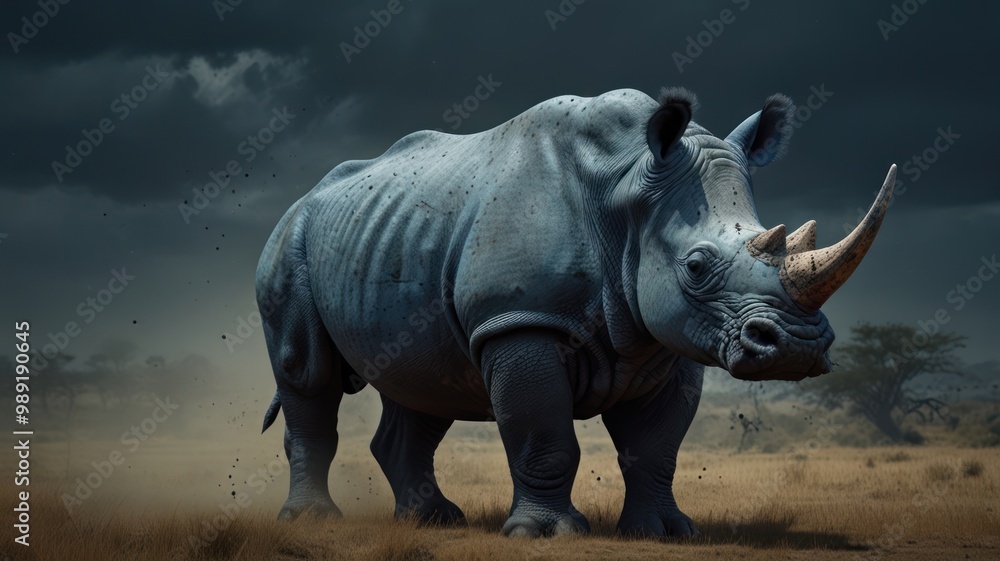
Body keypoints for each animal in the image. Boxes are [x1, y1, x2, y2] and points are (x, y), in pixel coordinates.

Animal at [257, 87, 895, 537]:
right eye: (695, 266)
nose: (796, 347)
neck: (627, 188)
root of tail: (303, 198)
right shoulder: (521, 319)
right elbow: (544, 433)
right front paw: (545, 534)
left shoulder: (670, 340)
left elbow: (657, 446)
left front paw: (666, 532)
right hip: (291, 241)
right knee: (306, 371)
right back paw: (313, 521)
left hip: (393, 239)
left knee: (423, 381)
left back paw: (434, 520)